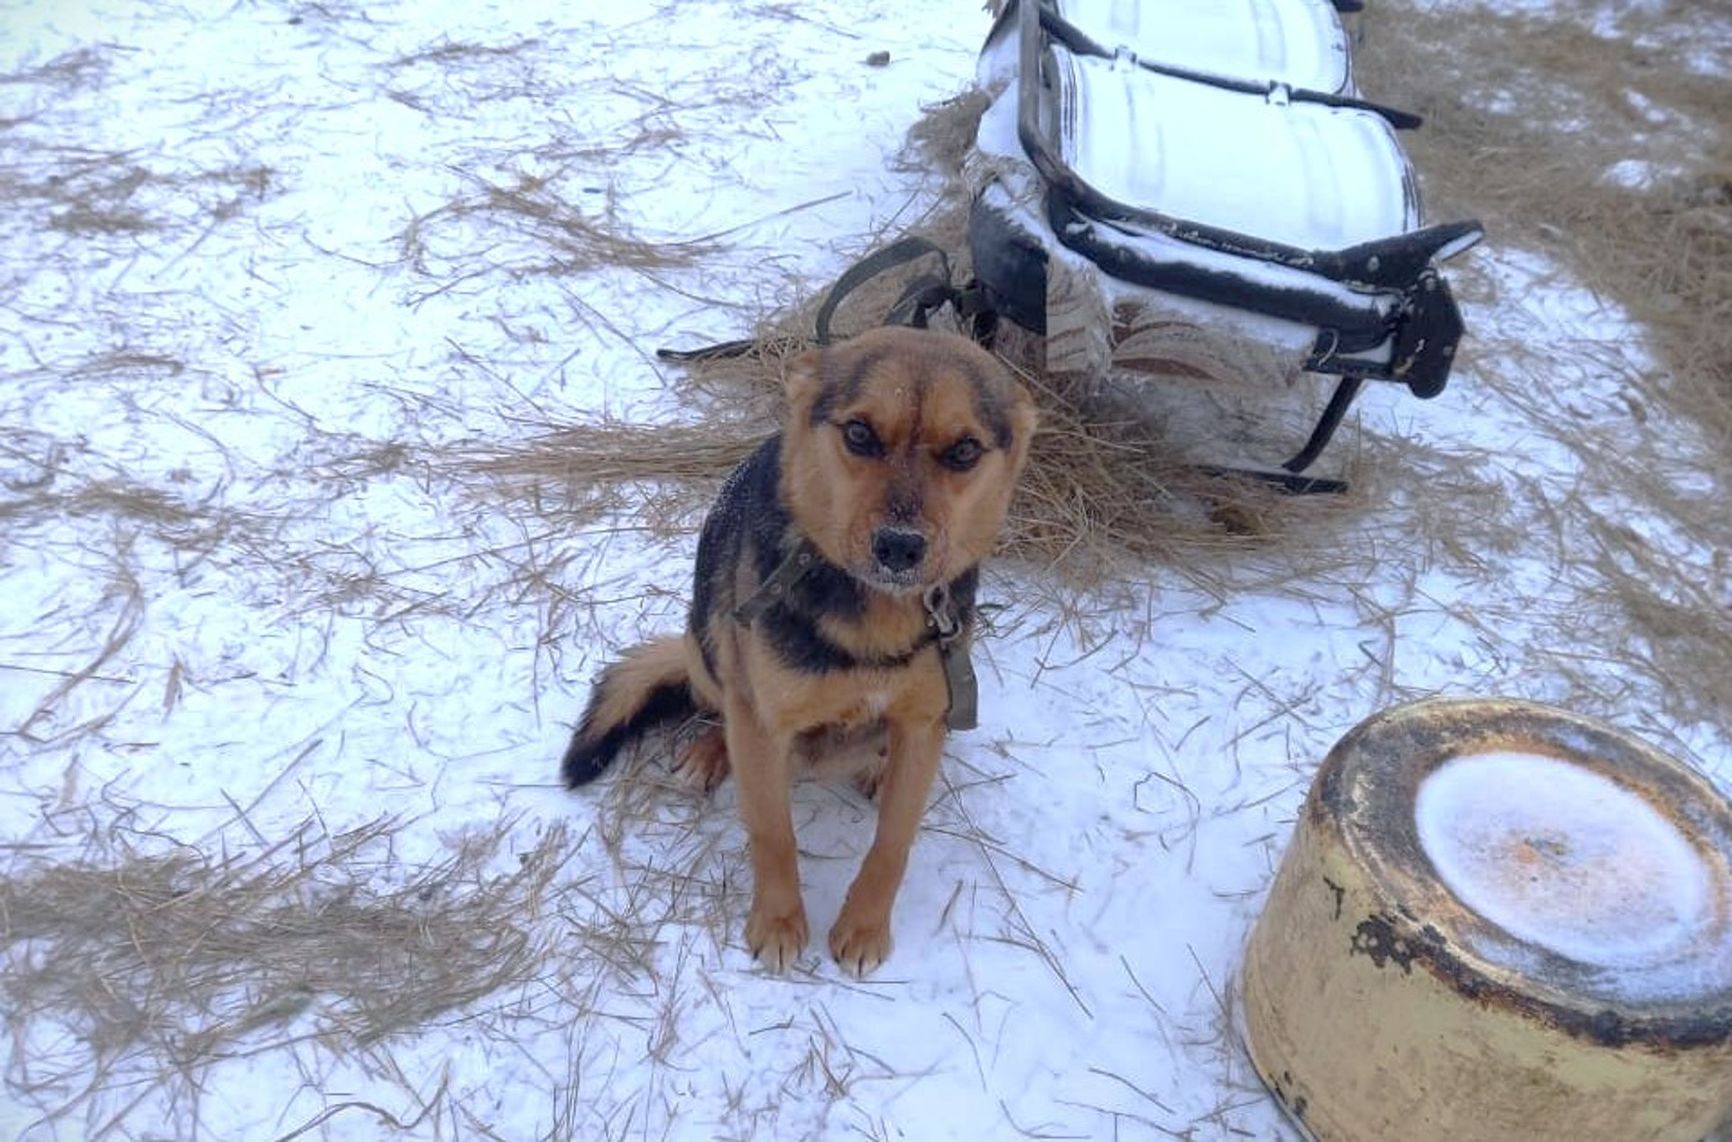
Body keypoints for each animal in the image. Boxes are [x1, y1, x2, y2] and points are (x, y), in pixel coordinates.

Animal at [561, 322, 1032, 977]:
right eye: (859, 433)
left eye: (964, 450)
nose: (899, 548)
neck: (873, 618)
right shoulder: (766, 723)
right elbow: (772, 831)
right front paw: (779, 923)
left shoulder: (923, 720)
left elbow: (893, 842)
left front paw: (863, 926)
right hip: (706, 637)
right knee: (722, 699)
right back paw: (711, 751)